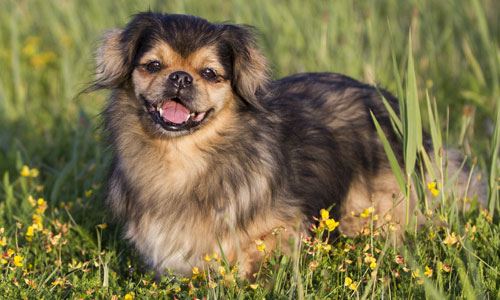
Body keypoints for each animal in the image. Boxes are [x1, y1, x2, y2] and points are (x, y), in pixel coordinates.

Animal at [91, 11, 484, 278]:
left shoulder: (283, 230)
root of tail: (388, 101)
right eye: (153, 65)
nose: (179, 77)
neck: (182, 160)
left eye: (209, 74)